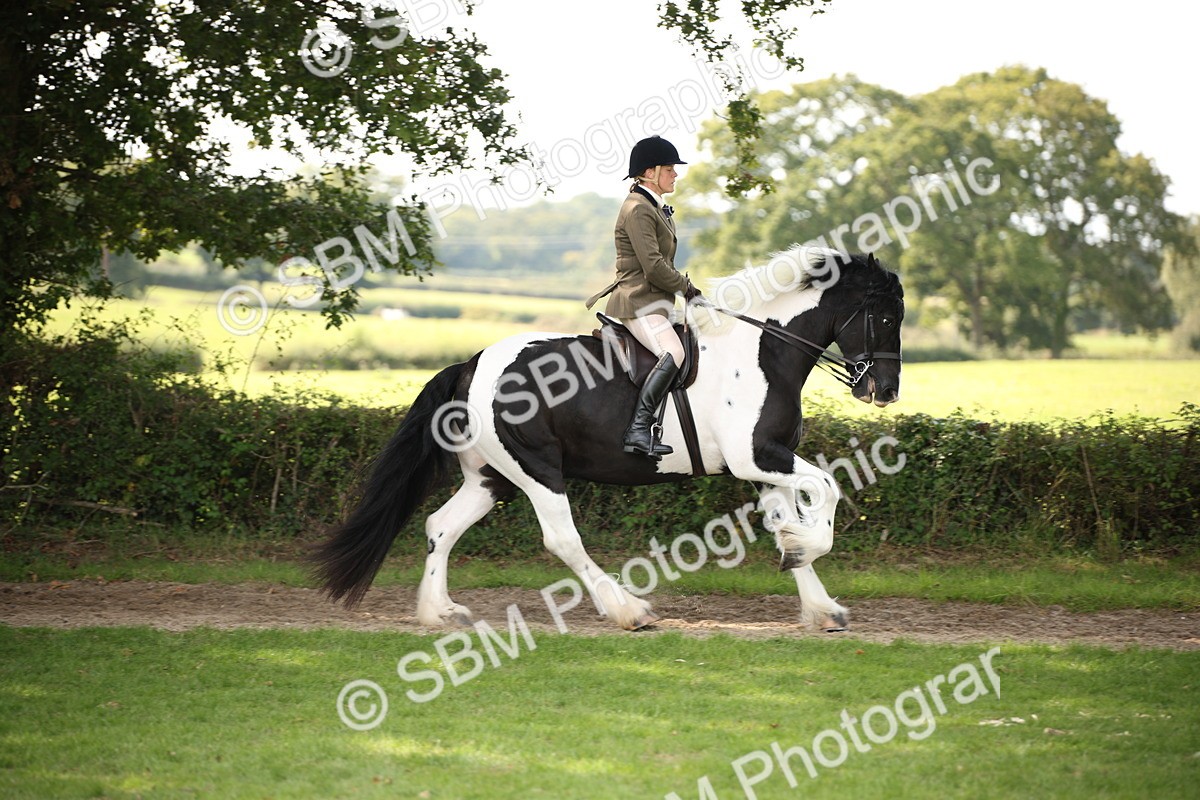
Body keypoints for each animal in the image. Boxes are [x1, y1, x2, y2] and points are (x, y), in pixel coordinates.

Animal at [312, 246, 904, 632]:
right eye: (883, 316)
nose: (885, 391)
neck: (762, 351)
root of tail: (474, 363)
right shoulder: (757, 456)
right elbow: (827, 487)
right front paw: (806, 548)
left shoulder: (763, 464)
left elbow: (787, 521)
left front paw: (817, 596)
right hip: (536, 469)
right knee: (561, 539)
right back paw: (628, 610)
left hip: (491, 476)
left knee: (441, 526)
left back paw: (439, 612)